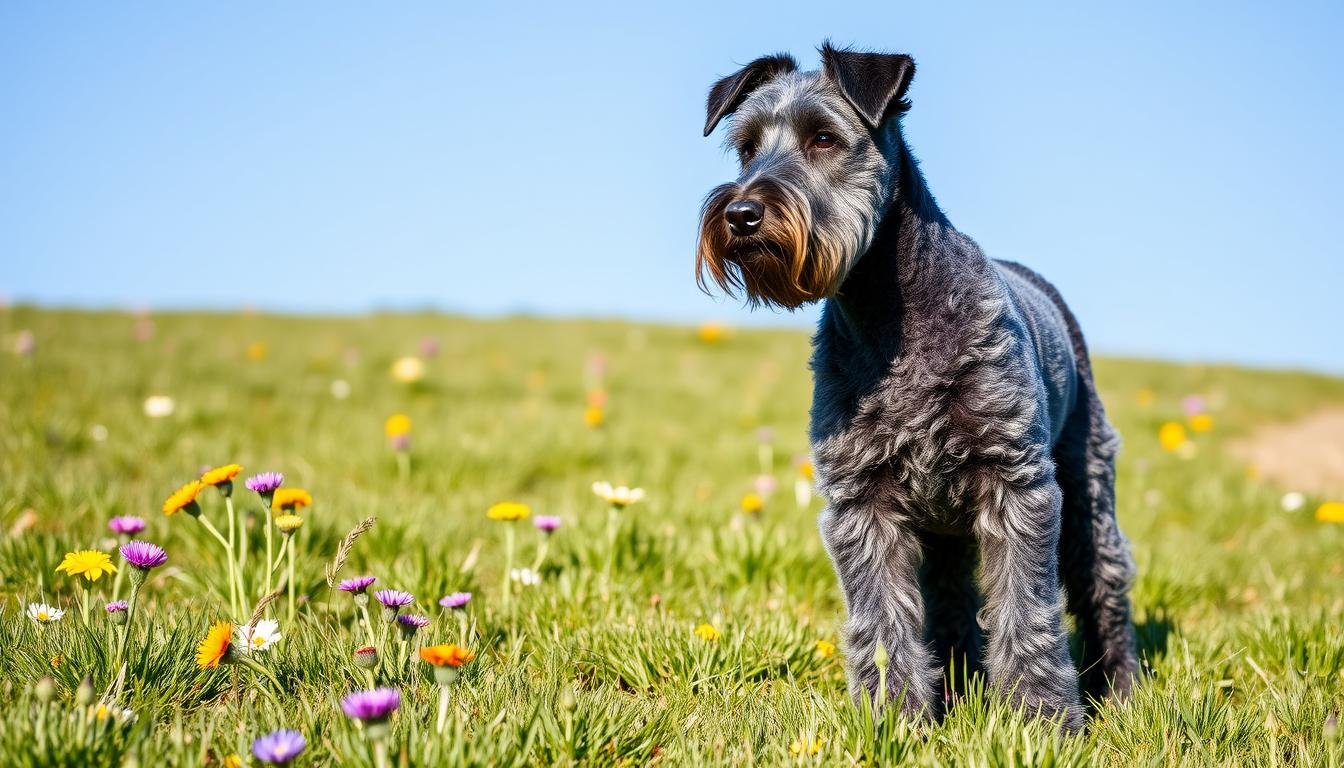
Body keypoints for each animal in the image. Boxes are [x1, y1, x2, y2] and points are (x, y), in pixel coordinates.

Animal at [698, 45, 1139, 731]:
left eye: (824, 138)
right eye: (745, 148)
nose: (740, 213)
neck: (889, 319)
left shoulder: (1017, 488)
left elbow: (1028, 614)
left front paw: (1041, 722)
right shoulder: (864, 505)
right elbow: (883, 622)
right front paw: (891, 722)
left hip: (1087, 494)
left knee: (1105, 587)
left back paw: (1118, 690)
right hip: (944, 534)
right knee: (952, 603)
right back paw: (956, 688)